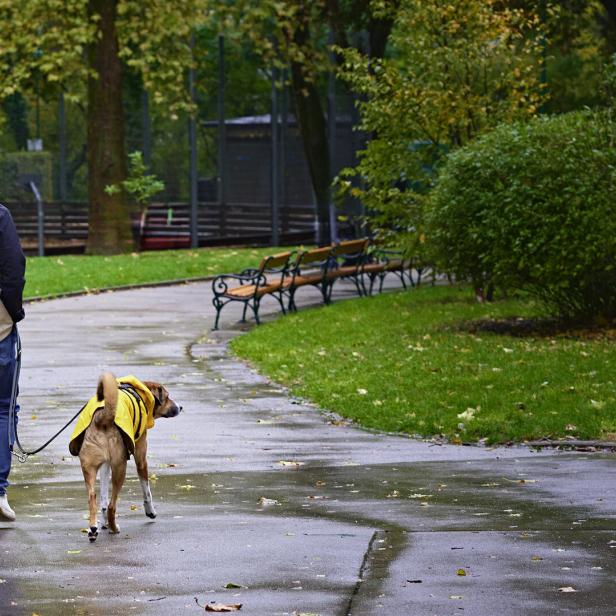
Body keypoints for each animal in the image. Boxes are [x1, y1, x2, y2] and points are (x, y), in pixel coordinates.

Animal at [70, 372, 182, 540]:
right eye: (167, 397)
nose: (181, 407)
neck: (139, 393)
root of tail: (102, 417)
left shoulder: (105, 465)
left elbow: (103, 497)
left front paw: (102, 523)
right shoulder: (141, 458)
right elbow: (146, 490)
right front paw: (150, 511)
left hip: (90, 468)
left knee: (93, 497)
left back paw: (93, 528)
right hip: (120, 468)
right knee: (112, 505)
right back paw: (114, 528)